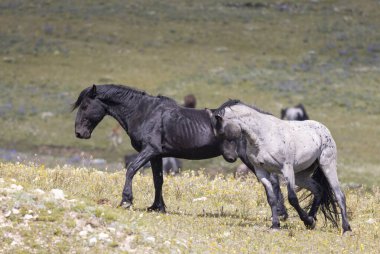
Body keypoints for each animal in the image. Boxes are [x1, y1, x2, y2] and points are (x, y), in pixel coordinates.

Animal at [72, 84, 286, 215]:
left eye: (85, 105)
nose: (79, 133)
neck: (145, 113)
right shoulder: (157, 155)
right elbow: (158, 180)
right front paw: (157, 207)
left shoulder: (149, 150)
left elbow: (131, 169)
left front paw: (126, 200)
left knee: (273, 181)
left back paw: (280, 213)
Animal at [209, 99, 352, 234]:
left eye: (221, 132)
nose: (230, 157)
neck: (263, 136)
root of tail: (324, 130)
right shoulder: (261, 172)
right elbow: (272, 199)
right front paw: (275, 225)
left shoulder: (286, 169)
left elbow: (292, 198)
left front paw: (305, 219)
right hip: (301, 176)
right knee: (318, 190)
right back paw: (312, 219)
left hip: (327, 165)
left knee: (340, 195)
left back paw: (346, 228)